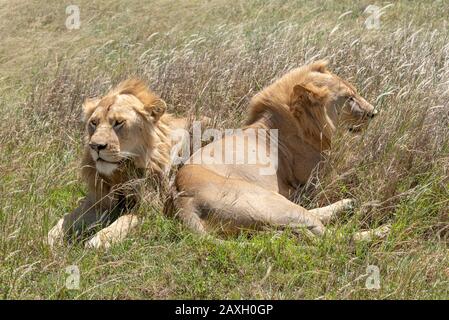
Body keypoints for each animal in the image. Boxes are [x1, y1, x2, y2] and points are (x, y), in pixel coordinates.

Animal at [46, 79, 200, 249]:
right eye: (94, 123)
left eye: (118, 123)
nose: (95, 146)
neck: (121, 173)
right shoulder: (98, 202)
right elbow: (68, 218)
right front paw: (52, 237)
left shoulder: (152, 208)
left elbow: (126, 219)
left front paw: (100, 240)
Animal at [168, 59, 388, 240]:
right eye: (349, 98)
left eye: (355, 92)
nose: (374, 113)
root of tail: (183, 203)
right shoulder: (311, 183)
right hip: (274, 201)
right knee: (332, 237)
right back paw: (379, 229)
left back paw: (352, 204)